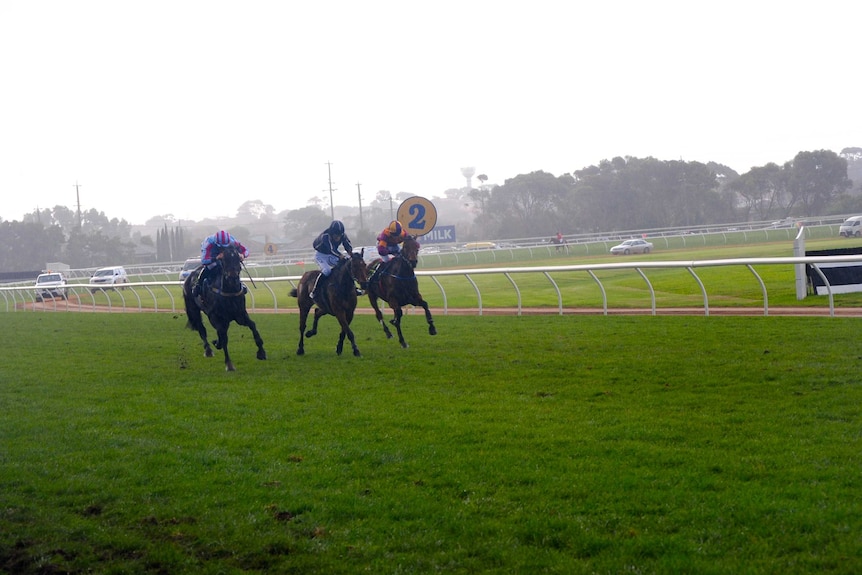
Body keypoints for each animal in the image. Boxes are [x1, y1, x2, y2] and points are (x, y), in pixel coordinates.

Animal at [181, 244, 264, 374]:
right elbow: (223, 336)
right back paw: (208, 350)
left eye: (237, 258)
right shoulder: (215, 316)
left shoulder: (240, 315)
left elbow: (253, 325)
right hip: (193, 309)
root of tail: (189, 277)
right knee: (201, 329)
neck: (229, 291)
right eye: (224, 260)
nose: (233, 277)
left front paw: (261, 352)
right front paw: (229, 364)